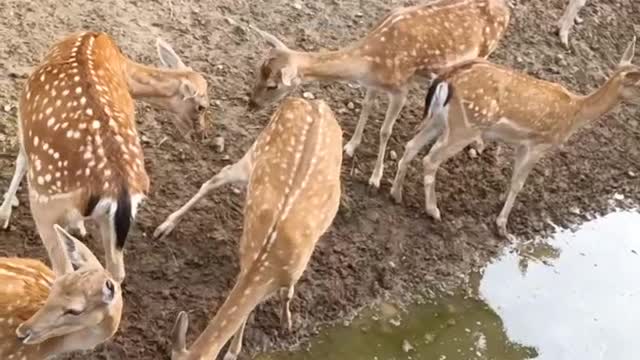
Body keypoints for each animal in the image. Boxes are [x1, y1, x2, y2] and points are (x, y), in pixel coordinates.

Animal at [0, 31, 209, 282]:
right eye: (202, 106)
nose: (202, 135)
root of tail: (120, 189)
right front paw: (78, 227)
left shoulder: (26, 124)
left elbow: (21, 159)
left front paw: (3, 215)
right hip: (112, 221)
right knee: (117, 272)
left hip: (45, 198)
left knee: (63, 270)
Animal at [166, 97, 344, 360]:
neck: (269, 261)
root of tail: (311, 101)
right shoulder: (247, 255)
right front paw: (233, 352)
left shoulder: (293, 268)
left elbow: (287, 293)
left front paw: (286, 322)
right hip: (257, 149)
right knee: (218, 176)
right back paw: (165, 225)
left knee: (218, 175)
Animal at [245, 0, 510, 188]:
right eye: (258, 69)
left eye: (273, 85)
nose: (251, 104)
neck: (371, 62)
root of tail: (507, 10)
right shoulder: (372, 84)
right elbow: (366, 106)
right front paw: (350, 146)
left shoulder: (401, 88)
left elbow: (385, 131)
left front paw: (375, 177)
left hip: (485, 52)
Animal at [390, 36, 640, 239]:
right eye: (639, 85)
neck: (575, 114)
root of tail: (446, 78)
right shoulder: (540, 143)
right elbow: (520, 184)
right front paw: (502, 227)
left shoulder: (522, 143)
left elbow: (513, 178)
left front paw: (501, 201)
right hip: (465, 127)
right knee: (430, 159)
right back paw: (433, 211)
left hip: (438, 119)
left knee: (411, 145)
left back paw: (396, 193)